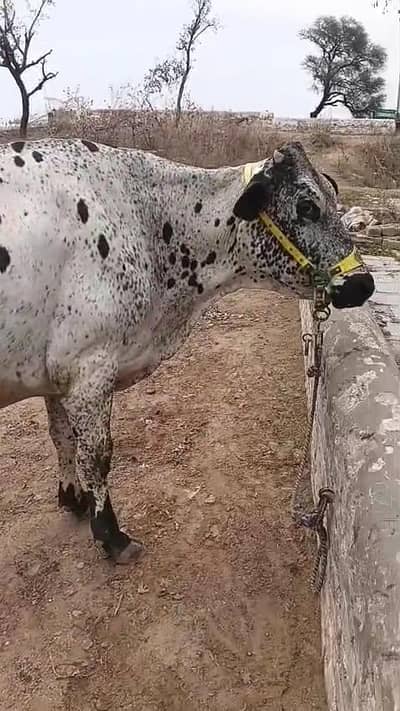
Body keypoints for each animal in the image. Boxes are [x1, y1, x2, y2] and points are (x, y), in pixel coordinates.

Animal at [0, 138, 374, 563]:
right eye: (307, 206)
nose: (364, 283)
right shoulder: (89, 369)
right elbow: (95, 456)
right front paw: (111, 535)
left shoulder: (56, 374)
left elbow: (61, 437)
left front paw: (72, 498)